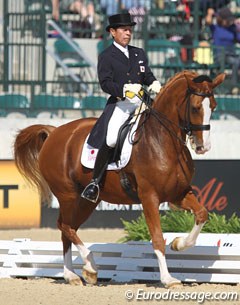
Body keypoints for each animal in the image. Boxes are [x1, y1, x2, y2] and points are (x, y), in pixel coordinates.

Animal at [14, 70, 225, 286]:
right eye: (195, 107)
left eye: (213, 106)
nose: (203, 147)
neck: (162, 140)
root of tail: (54, 132)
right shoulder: (149, 197)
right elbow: (157, 238)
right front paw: (168, 278)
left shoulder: (178, 193)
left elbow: (202, 214)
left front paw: (178, 243)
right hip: (68, 196)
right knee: (64, 226)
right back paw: (89, 267)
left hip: (86, 201)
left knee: (68, 229)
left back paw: (73, 275)